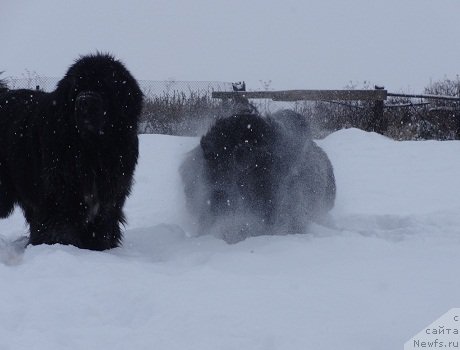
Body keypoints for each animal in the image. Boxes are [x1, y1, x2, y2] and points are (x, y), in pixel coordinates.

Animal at [0, 53, 143, 250]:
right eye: (77, 88)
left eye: (104, 87)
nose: (84, 101)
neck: (92, 149)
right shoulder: (60, 195)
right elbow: (60, 227)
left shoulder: (110, 196)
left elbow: (102, 227)